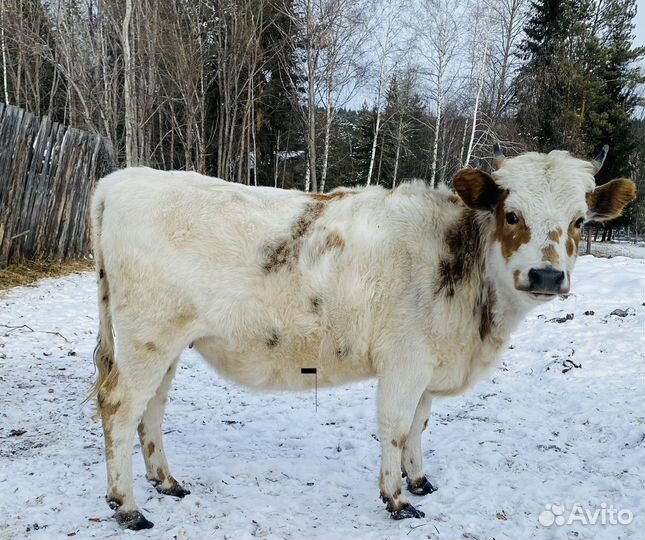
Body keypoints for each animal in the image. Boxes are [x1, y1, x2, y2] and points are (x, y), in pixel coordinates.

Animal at [88, 146, 635, 530]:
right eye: (512, 214)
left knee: (152, 410)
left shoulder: (427, 367)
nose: (547, 276)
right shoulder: (404, 363)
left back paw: (166, 482)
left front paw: (419, 480)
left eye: (579, 221)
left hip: (167, 346)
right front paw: (395, 499)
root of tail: (121, 180)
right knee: (120, 409)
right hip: (147, 340)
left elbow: (418, 425)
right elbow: (394, 427)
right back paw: (127, 507)